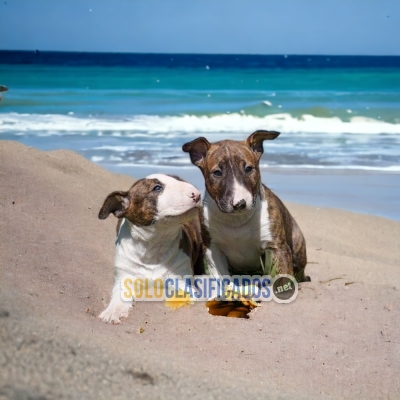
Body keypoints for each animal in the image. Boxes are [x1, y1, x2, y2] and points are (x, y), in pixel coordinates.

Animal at [97, 173, 203, 324]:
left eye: (179, 181)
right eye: (157, 188)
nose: (197, 194)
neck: (155, 244)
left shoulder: (181, 275)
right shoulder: (124, 274)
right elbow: (119, 293)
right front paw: (113, 312)